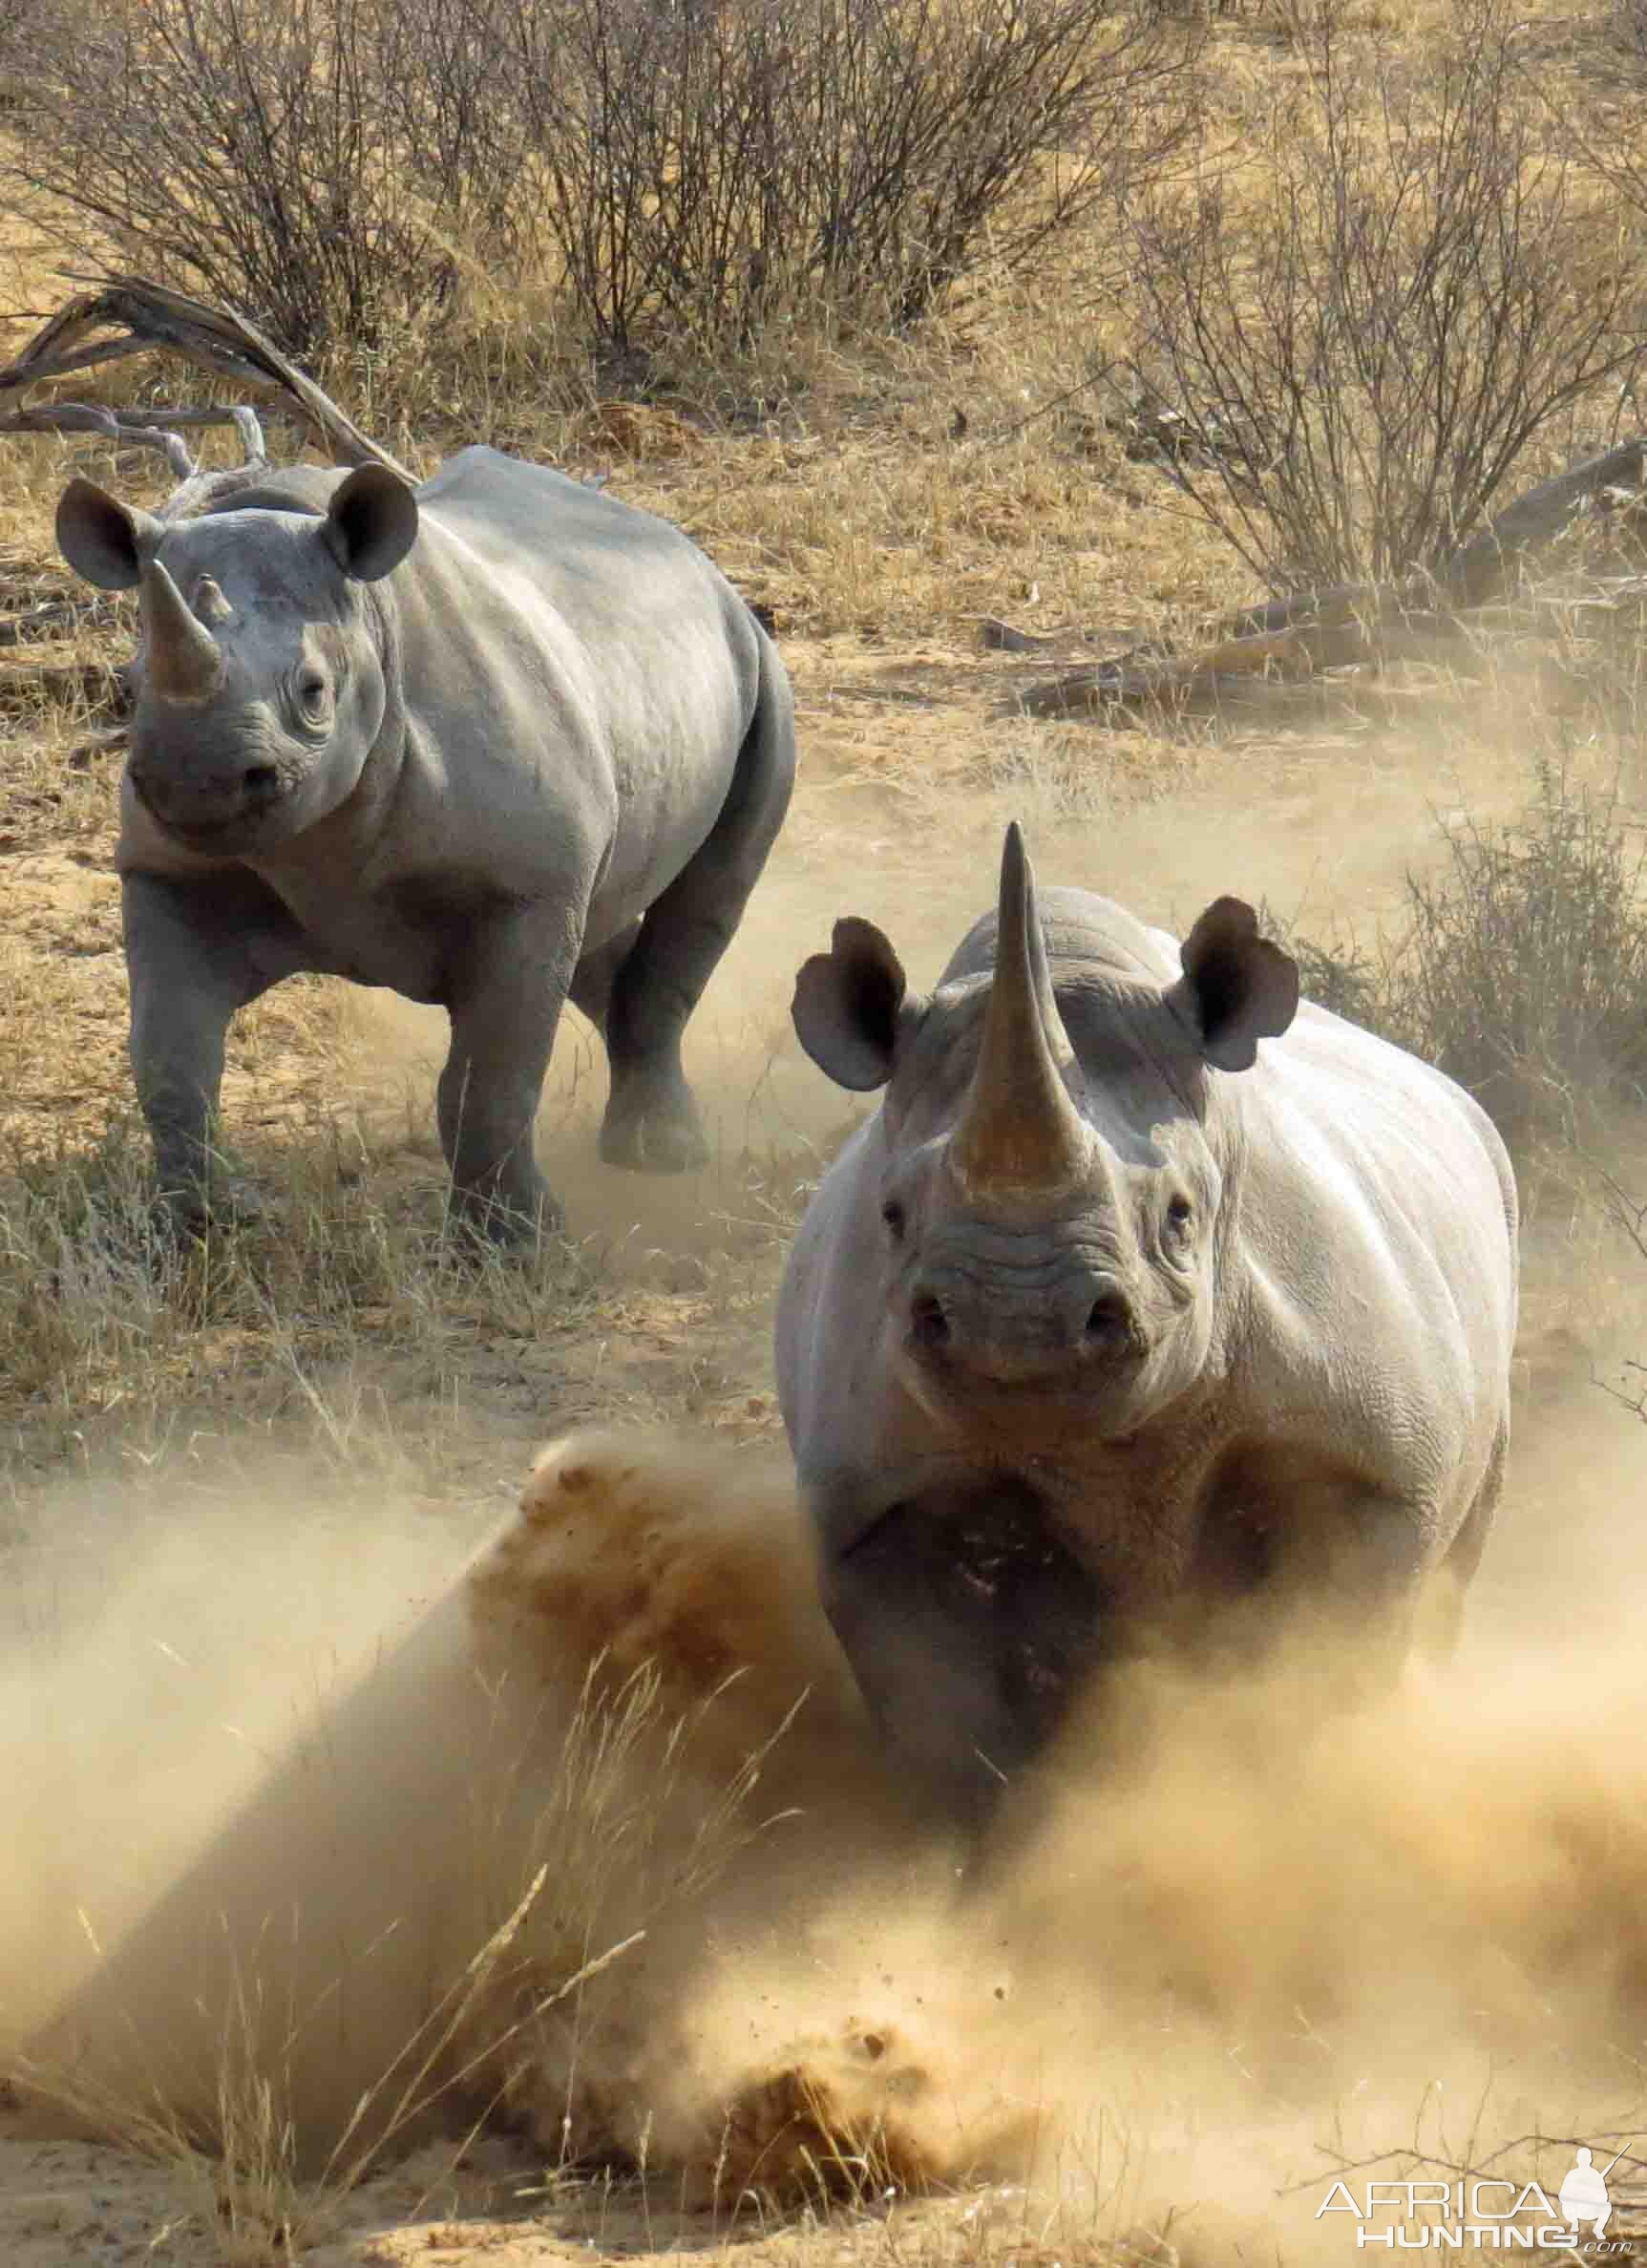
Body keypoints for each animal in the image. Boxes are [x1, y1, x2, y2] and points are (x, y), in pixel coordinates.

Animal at [54, 446, 798, 1242]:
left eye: (313, 692)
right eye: (132, 687)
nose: (197, 781)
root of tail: (692, 557)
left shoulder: (524, 890)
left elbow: (491, 1079)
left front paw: (517, 1246)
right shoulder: (169, 871)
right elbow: (170, 1058)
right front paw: (190, 1232)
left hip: (759, 665)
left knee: (709, 890)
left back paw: (661, 1158)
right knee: (601, 916)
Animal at [780, 825, 1524, 1814]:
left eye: (1178, 1215)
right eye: (892, 1216)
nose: (1016, 1327)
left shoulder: (1374, 1467)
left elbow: (1318, 1672)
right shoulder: (874, 1505)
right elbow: (950, 1733)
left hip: (1494, 1190)